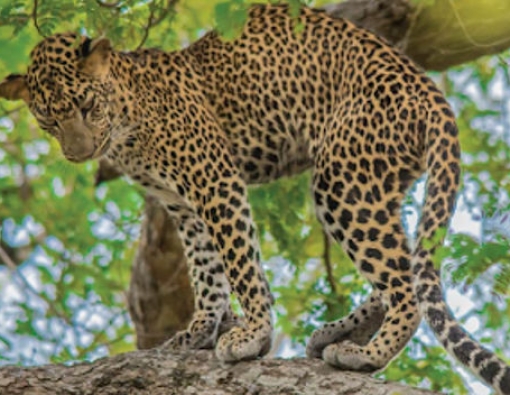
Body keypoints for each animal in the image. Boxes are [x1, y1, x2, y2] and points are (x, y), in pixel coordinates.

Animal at [0, 4, 508, 394]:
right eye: (47, 121)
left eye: (87, 107)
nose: (79, 153)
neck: (126, 122)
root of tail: (429, 90)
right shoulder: (181, 206)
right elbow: (206, 271)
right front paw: (200, 330)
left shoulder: (215, 180)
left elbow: (241, 265)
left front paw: (252, 334)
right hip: (377, 183)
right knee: (402, 270)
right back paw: (338, 331)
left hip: (341, 181)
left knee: (405, 284)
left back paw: (368, 354)